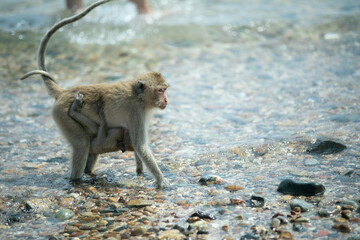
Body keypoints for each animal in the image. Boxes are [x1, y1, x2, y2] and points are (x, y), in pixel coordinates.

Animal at [20, 0, 169, 188]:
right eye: (160, 90)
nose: (166, 100)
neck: (139, 97)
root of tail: (64, 92)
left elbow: (137, 146)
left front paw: (140, 172)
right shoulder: (136, 111)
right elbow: (140, 145)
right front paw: (162, 181)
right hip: (61, 114)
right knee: (82, 144)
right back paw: (76, 179)